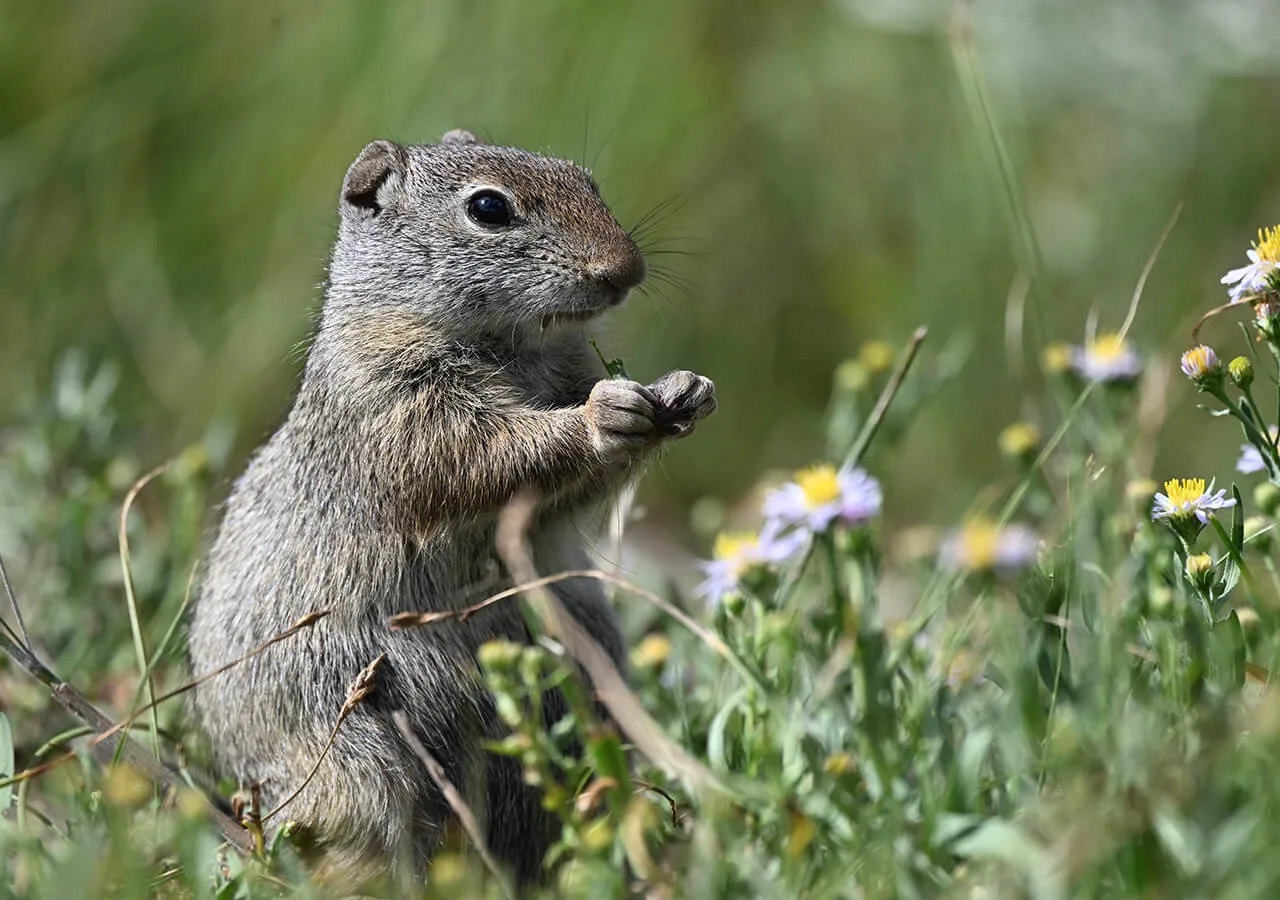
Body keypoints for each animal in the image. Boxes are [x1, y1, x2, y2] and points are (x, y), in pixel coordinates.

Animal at [185, 128, 716, 885]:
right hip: (361, 761)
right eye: (489, 208)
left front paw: (684, 390)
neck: (511, 346)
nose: (626, 269)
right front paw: (601, 416)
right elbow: (489, 456)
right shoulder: (406, 410)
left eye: (584, 178)